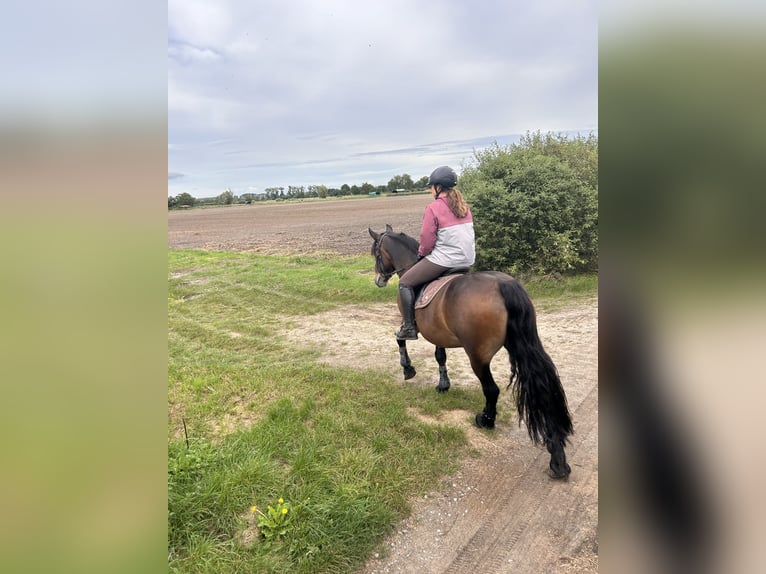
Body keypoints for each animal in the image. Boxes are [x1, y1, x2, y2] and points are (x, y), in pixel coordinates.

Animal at [368, 225, 572, 482]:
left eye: (376, 252)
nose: (378, 280)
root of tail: (503, 285)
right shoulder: (438, 333)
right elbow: (440, 356)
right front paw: (443, 384)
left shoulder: (411, 325)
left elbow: (400, 338)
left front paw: (408, 369)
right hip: (522, 345)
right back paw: (558, 457)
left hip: (478, 356)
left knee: (491, 389)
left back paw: (486, 420)